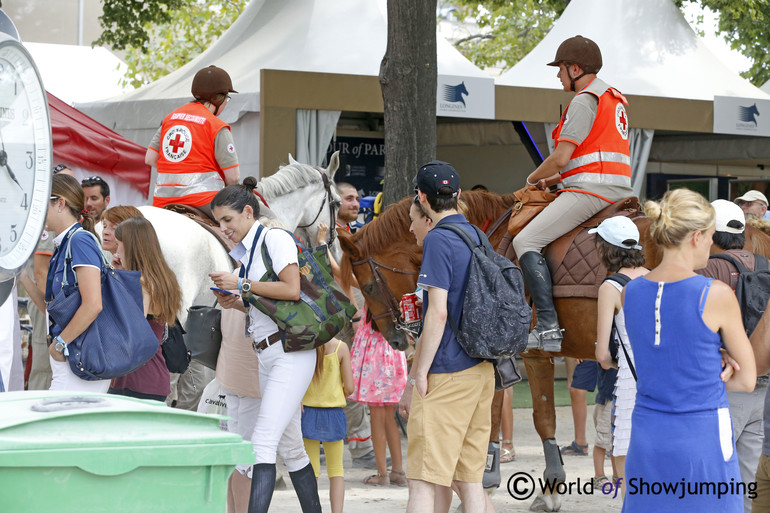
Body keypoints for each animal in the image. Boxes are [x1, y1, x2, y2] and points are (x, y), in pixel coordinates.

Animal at [340, 190, 768, 510]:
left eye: (368, 284)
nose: (395, 339)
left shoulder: (515, 354)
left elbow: (508, 415)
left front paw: (497, 478)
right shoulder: (520, 355)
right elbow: (530, 414)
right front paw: (538, 483)